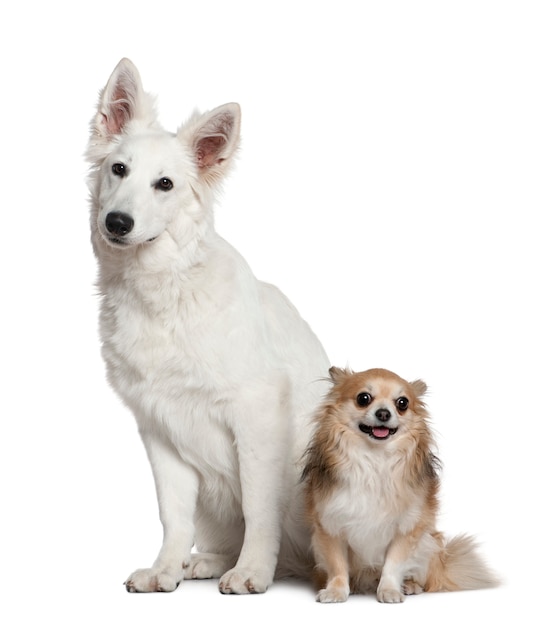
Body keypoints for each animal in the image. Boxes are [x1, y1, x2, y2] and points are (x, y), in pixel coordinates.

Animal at [87, 59, 330, 596]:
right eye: (119, 169)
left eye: (165, 184)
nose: (116, 222)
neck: (167, 289)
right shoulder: (158, 426)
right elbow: (173, 514)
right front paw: (164, 568)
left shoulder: (257, 414)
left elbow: (260, 506)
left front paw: (252, 571)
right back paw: (206, 561)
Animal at [302, 366, 498, 600]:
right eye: (363, 398)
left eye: (402, 403)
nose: (384, 413)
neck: (375, 458)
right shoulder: (330, 525)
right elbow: (337, 565)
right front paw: (336, 591)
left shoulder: (406, 528)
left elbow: (393, 565)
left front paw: (389, 590)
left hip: (429, 542)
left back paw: (410, 585)